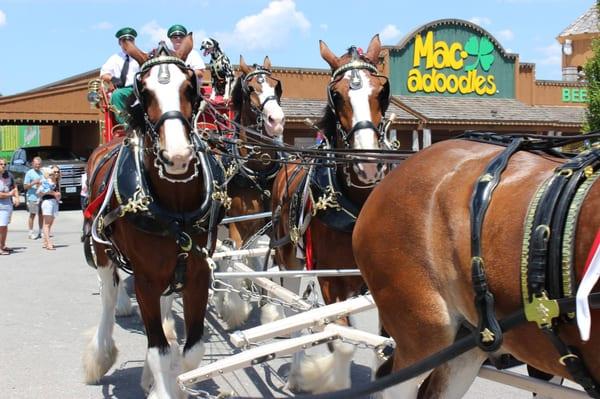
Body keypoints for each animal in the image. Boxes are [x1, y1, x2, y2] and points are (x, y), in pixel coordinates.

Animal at [83, 36, 224, 398]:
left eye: (189, 87)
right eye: (143, 92)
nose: (177, 156)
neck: (175, 208)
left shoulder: (198, 272)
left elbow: (193, 350)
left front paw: (174, 381)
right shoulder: (145, 280)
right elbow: (157, 350)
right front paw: (163, 387)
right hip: (101, 249)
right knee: (108, 297)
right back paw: (100, 354)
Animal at [270, 34, 392, 394]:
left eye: (382, 90)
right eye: (336, 94)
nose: (367, 164)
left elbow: (384, 347)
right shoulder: (329, 280)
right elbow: (343, 342)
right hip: (289, 258)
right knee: (295, 310)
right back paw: (296, 374)